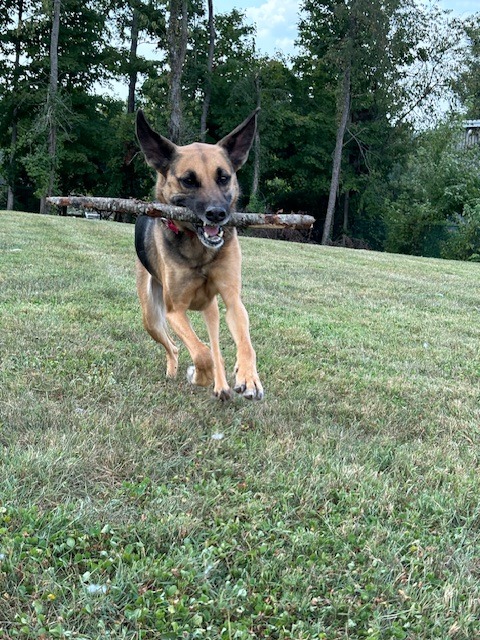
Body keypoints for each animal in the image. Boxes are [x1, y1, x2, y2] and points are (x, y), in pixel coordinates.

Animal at [134, 109, 264, 400]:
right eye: (189, 180)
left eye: (224, 177)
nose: (217, 214)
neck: (199, 249)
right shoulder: (174, 311)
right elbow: (202, 354)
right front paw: (198, 376)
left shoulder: (232, 301)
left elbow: (243, 343)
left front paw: (248, 377)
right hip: (152, 317)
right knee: (176, 346)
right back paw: (177, 371)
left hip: (211, 310)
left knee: (214, 345)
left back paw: (222, 385)